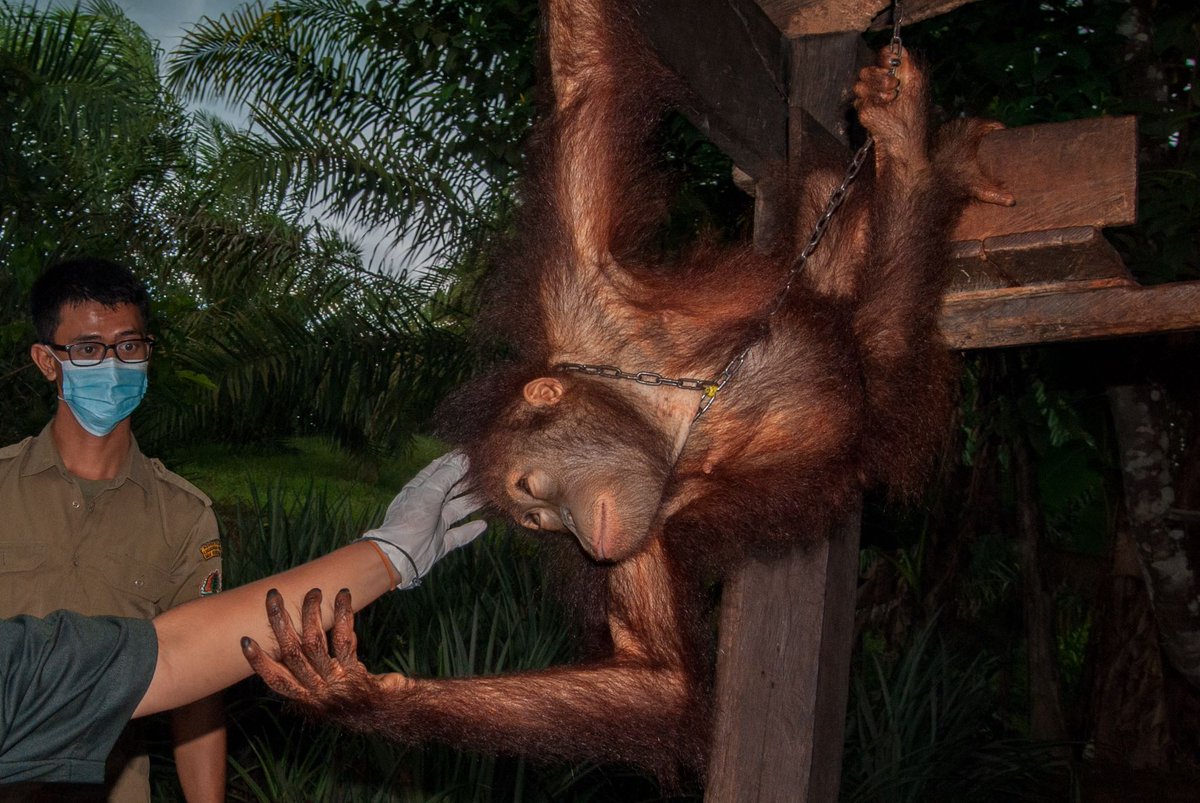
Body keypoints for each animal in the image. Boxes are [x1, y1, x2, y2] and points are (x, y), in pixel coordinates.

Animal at [243, 0, 1012, 786]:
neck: (669, 418)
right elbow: (656, 679)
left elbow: (583, 68)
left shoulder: (580, 296)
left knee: (877, 323)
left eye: (535, 494)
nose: (575, 534)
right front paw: (359, 696)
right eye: (541, 523)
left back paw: (913, 144)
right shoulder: (639, 536)